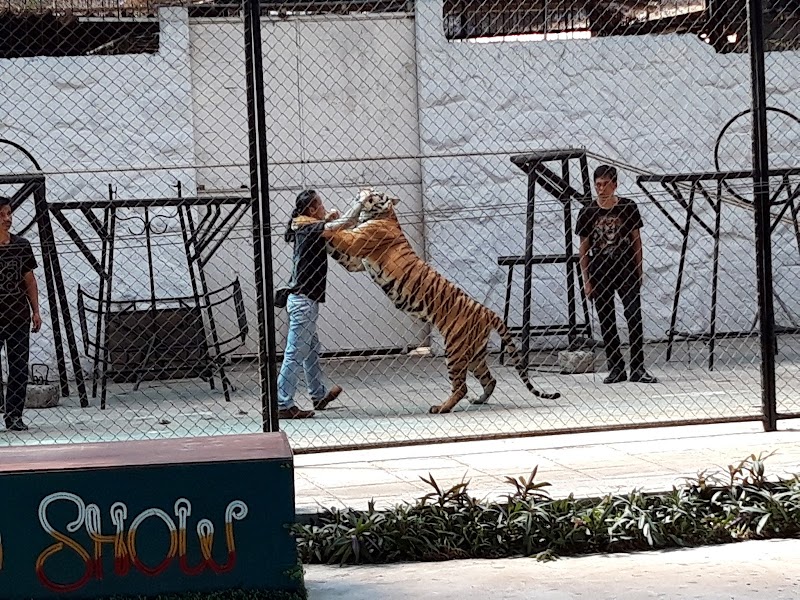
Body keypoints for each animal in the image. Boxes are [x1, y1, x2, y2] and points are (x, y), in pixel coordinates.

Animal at [292, 188, 561, 414]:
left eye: (376, 193)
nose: (363, 191)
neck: (381, 215)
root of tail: (486, 310)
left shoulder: (356, 244)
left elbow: (334, 232)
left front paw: (304, 220)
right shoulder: (355, 262)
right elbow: (335, 244)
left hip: (455, 349)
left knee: (461, 386)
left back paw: (441, 407)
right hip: (474, 353)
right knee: (489, 379)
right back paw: (479, 400)